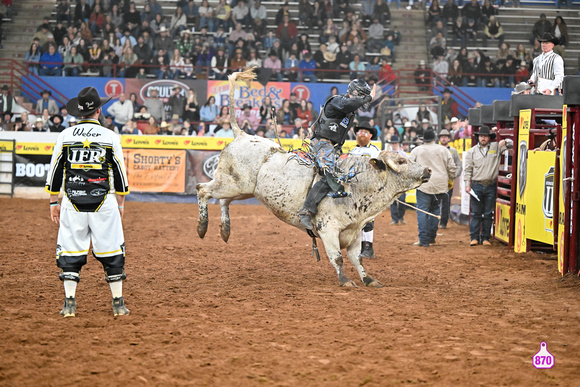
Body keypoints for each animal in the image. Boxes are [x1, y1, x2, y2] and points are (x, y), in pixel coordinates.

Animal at [197, 69, 428, 288]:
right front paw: (345, 280)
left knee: (223, 200)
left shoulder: (354, 232)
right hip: (231, 184)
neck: (358, 185)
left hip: (240, 189)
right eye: (401, 161)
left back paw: (225, 230)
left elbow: (357, 260)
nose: (427, 171)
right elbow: (337, 258)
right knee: (202, 190)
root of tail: (242, 134)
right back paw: (202, 227)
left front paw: (369, 279)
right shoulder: (329, 229)